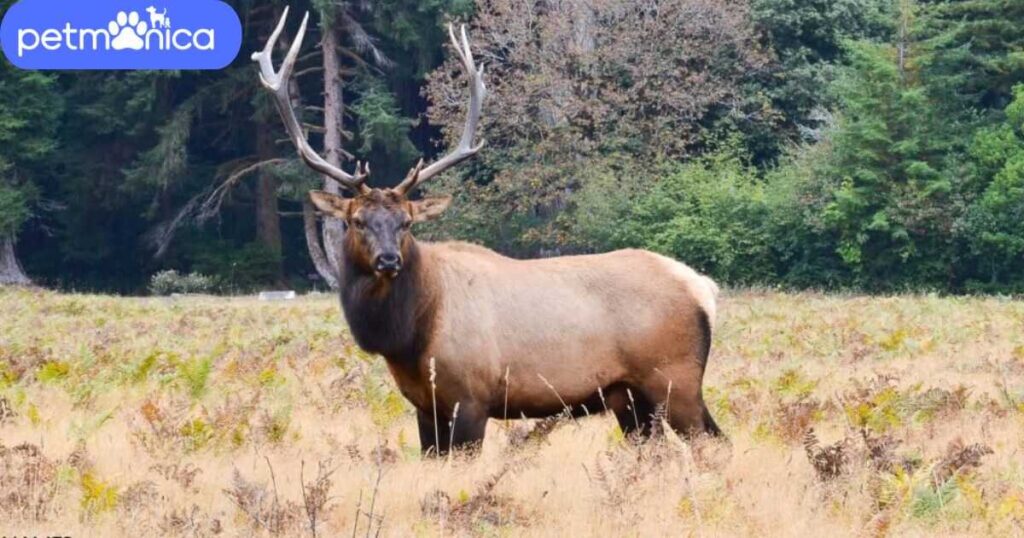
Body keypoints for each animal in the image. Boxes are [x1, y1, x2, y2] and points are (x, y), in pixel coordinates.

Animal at [252, 8, 724, 452]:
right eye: (356, 221)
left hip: (675, 378)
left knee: (712, 443)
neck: (411, 336)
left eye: (406, 223)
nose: (388, 260)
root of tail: (703, 287)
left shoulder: (471, 399)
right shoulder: (424, 406)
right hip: (629, 397)